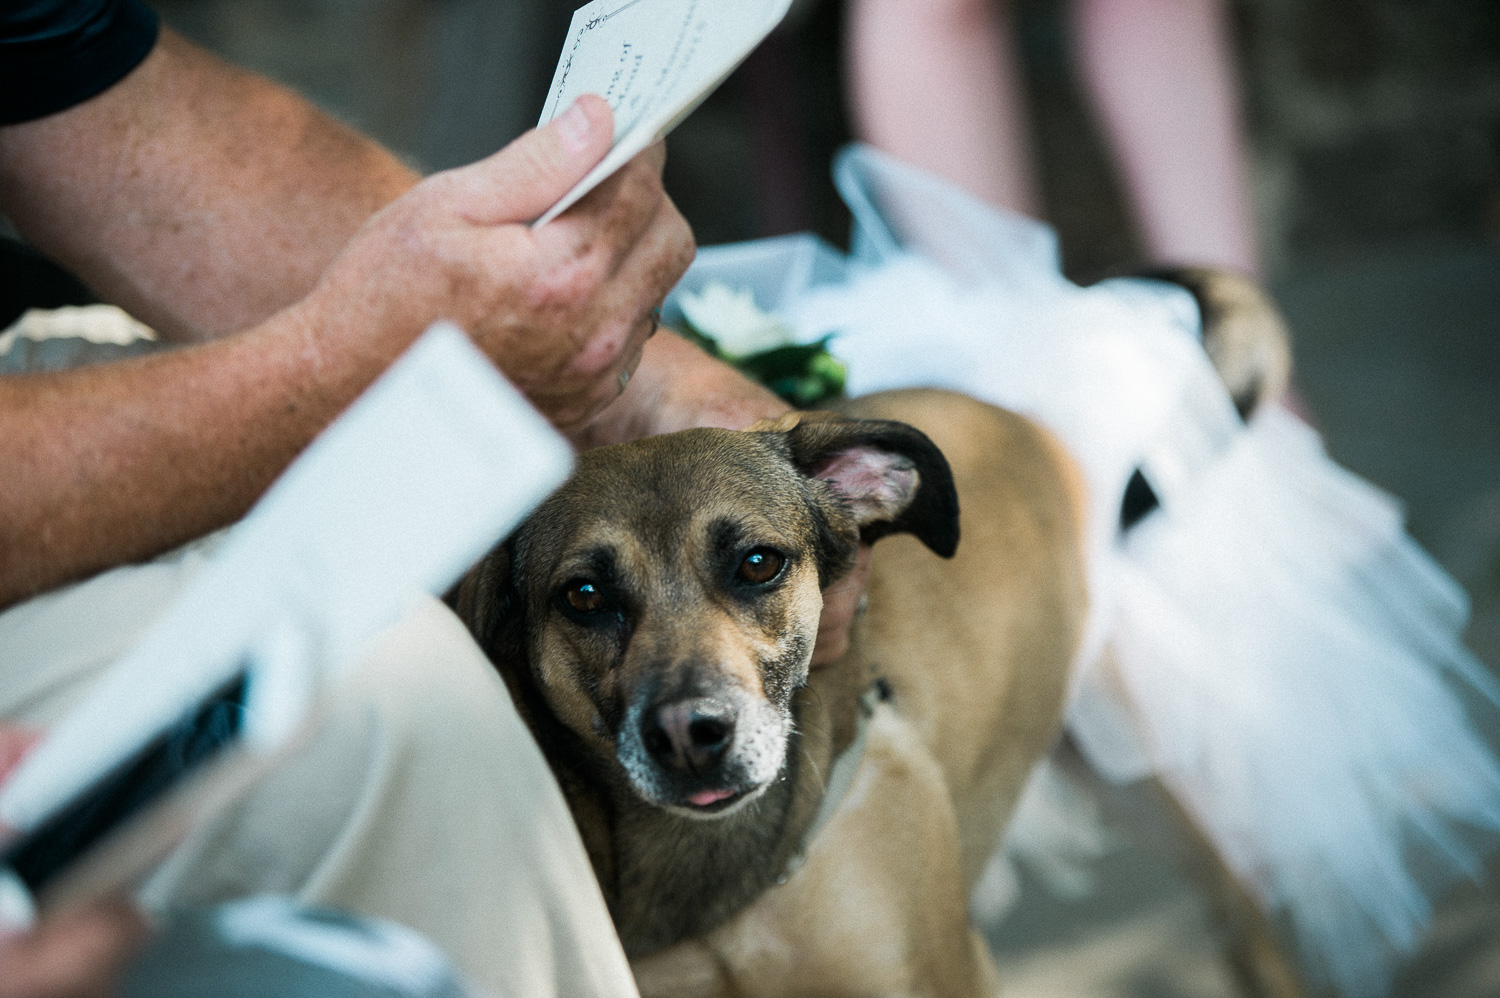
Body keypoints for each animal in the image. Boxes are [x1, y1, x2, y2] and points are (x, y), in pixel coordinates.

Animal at [453, 268, 1302, 990]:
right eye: (584, 596)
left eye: (758, 563)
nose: (690, 737)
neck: (718, 881)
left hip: (1135, 767)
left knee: (1243, 905)